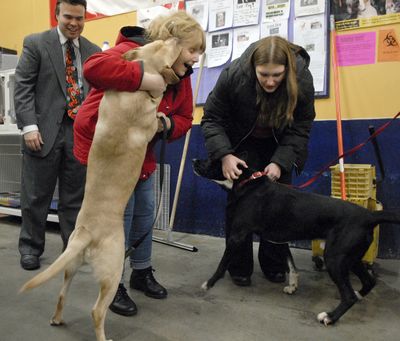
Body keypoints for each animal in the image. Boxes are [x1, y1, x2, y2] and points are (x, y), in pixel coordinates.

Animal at [18, 38, 181, 340]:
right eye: (165, 45)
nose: (175, 38)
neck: (138, 87)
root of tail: (86, 233)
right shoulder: (150, 117)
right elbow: (157, 116)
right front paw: (162, 111)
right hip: (113, 270)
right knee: (97, 311)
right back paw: (105, 335)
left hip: (70, 265)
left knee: (62, 294)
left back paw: (57, 319)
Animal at [193, 159, 400, 324]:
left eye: (213, 159)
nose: (194, 160)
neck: (247, 182)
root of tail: (369, 216)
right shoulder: (279, 239)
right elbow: (291, 264)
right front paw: (293, 286)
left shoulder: (238, 235)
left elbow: (222, 263)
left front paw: (208, 284)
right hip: (351, 258)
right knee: (369, 281)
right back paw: (358, 295)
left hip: (335, 258)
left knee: (348, 296)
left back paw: (330, 317)